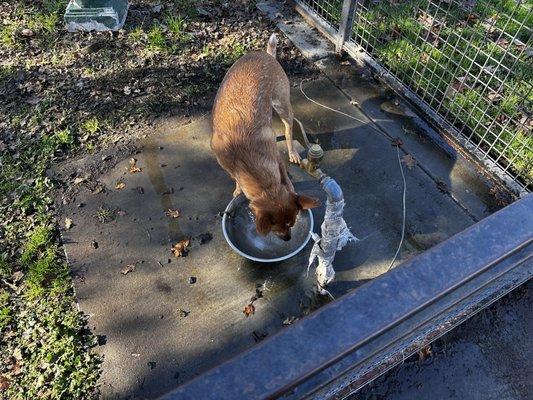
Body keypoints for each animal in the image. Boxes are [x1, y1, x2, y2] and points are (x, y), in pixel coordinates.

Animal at [210, 34, 318, 239]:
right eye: (275, 229)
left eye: (292, 223)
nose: (288, 238)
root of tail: (267, 55)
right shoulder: (225, 163)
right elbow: (235, 179)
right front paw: (237, 190)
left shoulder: (276, 158)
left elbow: (286, 180)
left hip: (282, 104)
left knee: (288, 128)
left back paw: (293, 152)